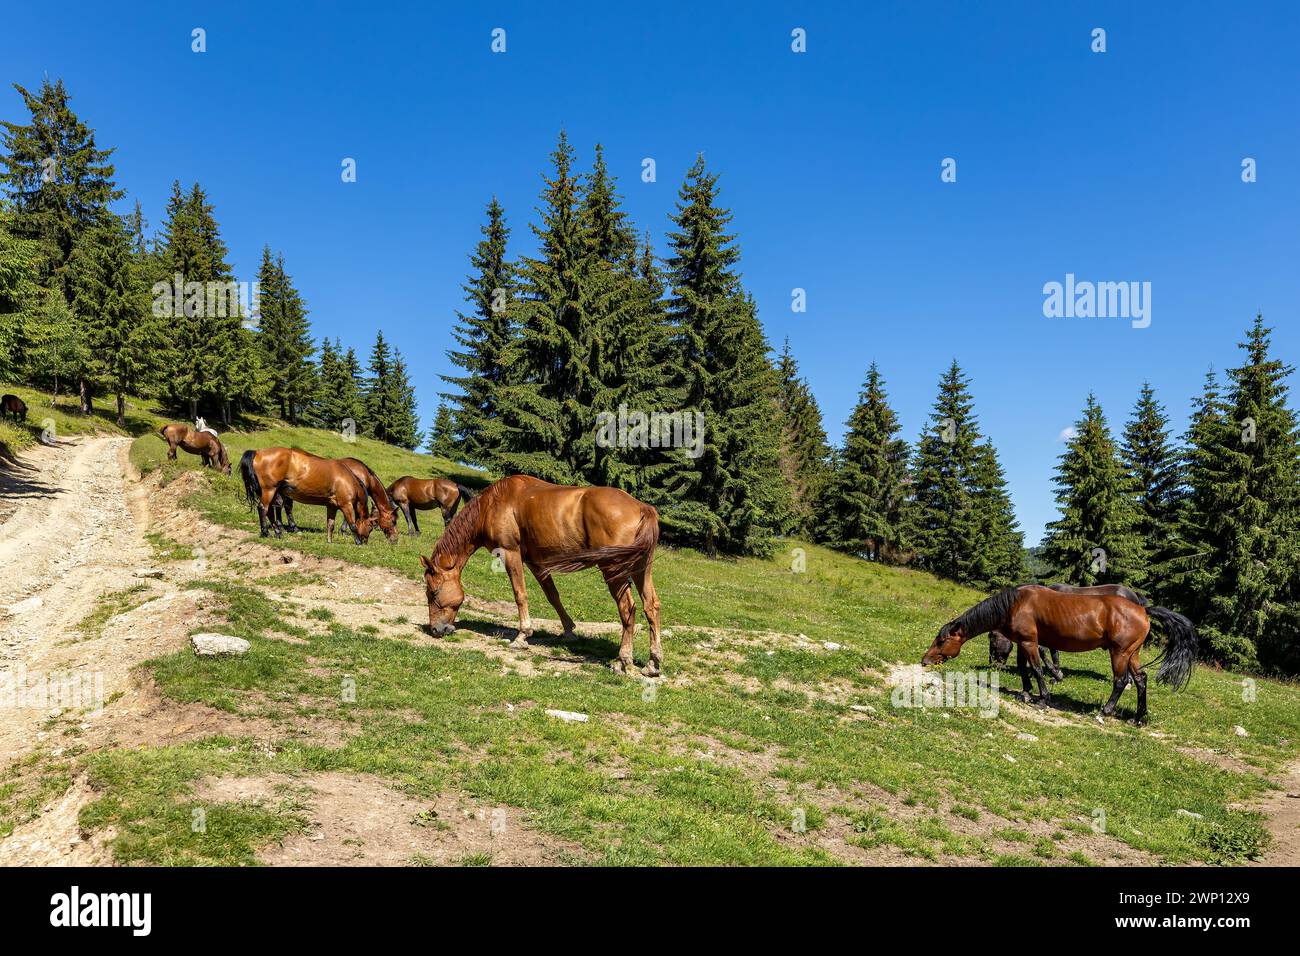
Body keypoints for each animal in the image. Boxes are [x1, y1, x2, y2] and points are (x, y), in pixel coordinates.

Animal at [239, 446, 375, 544]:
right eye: (370, 527)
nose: (365, 541)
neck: (346, 478)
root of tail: (258, 453)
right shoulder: (346, 505)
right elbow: (352, 525)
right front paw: (357, 542)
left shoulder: (331, 506)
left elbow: (330, 524)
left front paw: (329, 542)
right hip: (269, 490)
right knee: (263, 508)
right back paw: (266, 532)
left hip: (272, 492)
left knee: (270, 511)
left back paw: (278, 533)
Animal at [420, 474, 663, 676]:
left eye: (433, 592)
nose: (436, 629)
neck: (493, 504)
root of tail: (643, 508)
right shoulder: (536, 563)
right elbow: (553, 596)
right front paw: (569, 631)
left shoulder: (510, 554)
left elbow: (520, 594)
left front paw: (522, 636)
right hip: (641, 569)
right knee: (651, 606)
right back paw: (653, 663)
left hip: (614, 571)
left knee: (627, 609)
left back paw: (623, 660)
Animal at [987, 583, 1152, 676]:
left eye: (992, 638)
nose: (993, 664)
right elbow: (1054, 654)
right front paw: (1056, 672)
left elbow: (1045, 651)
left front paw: (1055, 673)